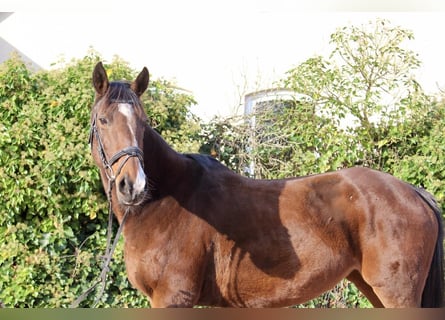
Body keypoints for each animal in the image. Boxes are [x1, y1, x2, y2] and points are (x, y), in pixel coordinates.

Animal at [88, 62, 442, 308]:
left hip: (395, 292)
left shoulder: (173, 296)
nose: (132, 185)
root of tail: (413, 192)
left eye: (143, 122)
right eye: (103, 120)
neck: (167, 200)